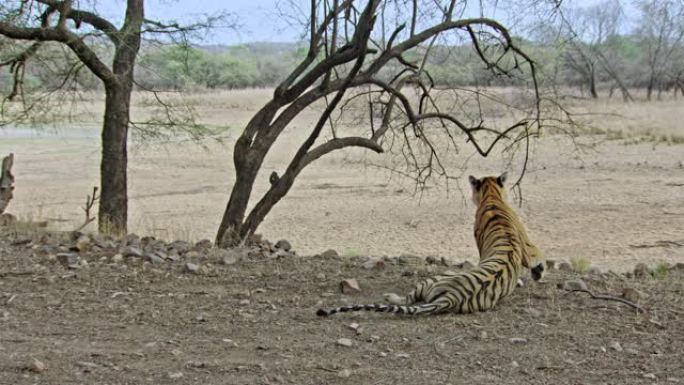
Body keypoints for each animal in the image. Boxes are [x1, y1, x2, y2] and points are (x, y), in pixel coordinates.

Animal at [316, 172, 544, 316]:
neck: (492, 196)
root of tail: (453, 297)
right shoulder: (525, 245)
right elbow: (536, 254)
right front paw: (537, 273)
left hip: (435, 278)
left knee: (407, 300)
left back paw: (390, 296)